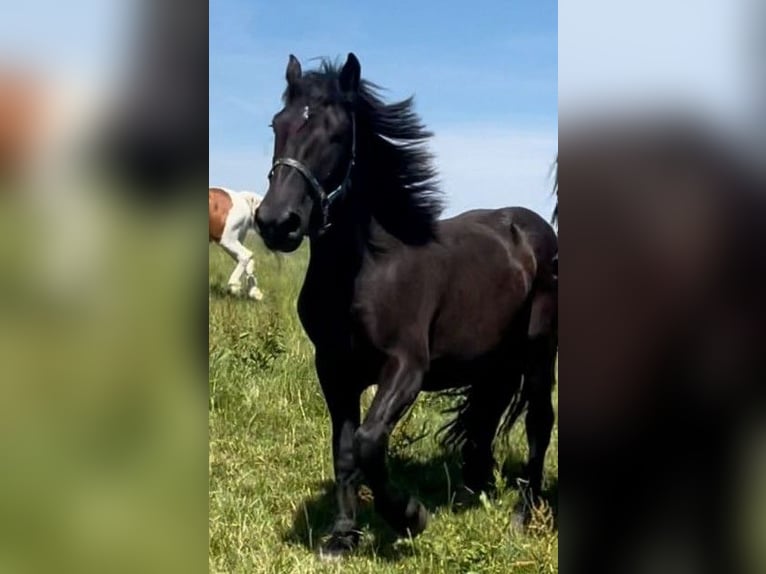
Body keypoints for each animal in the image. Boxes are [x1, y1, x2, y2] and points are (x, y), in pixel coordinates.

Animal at [255, 53, 560, 560]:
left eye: (337, 134)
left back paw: (523, 514)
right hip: (494, 361)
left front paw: (410, 516)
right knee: (486, 418)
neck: (367, 268)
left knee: (539, 422)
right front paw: (342, 536)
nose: (277, 223)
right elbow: (344, 451)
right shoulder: (333, 369)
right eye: (277, 124)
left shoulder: (405, 367)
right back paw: (475, 488)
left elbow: (368, 442)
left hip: (539, 353)